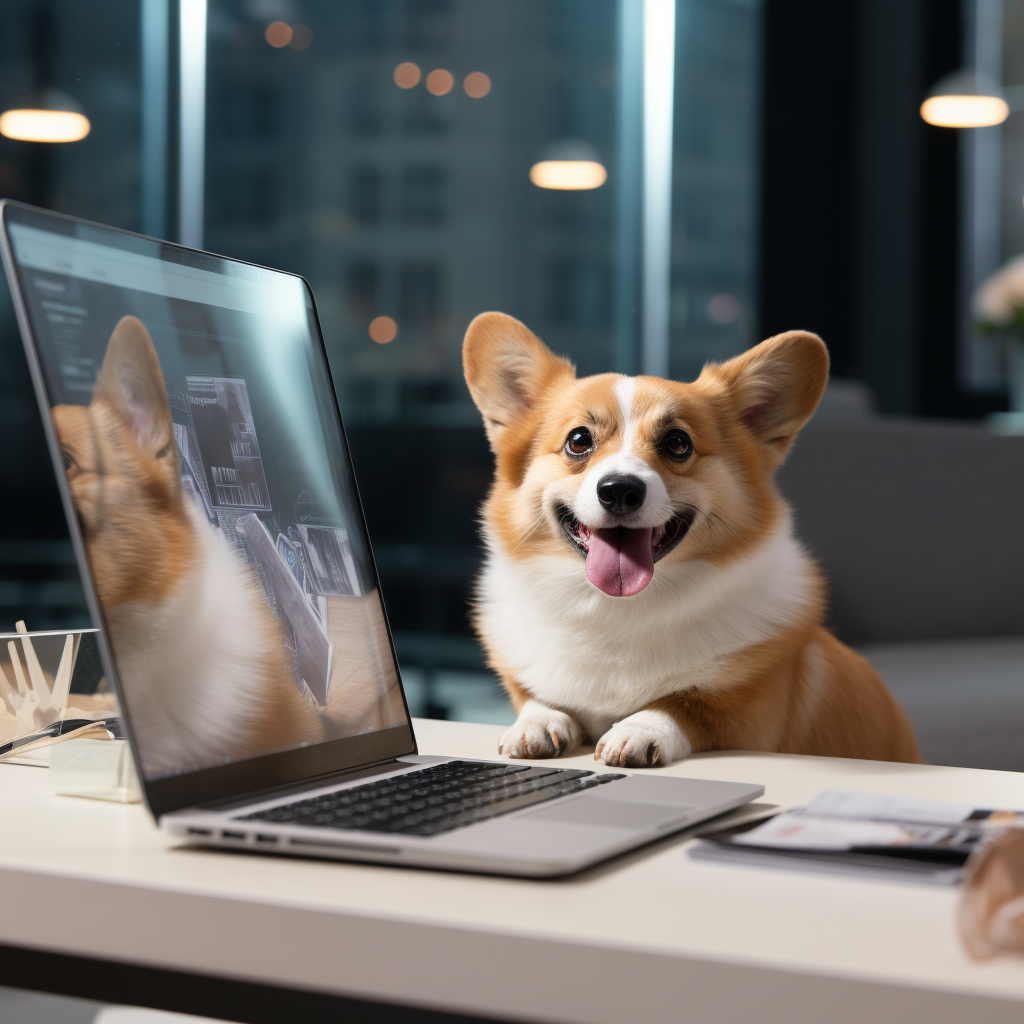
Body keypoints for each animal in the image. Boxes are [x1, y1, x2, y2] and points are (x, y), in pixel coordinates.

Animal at [468, 311, 925, 770]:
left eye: (677, 443)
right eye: (578, 440)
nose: (620, 490)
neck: (619, 610)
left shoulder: (752, 717)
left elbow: (686, 703)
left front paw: (639, 729)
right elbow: (536, 696)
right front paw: (537, 723)